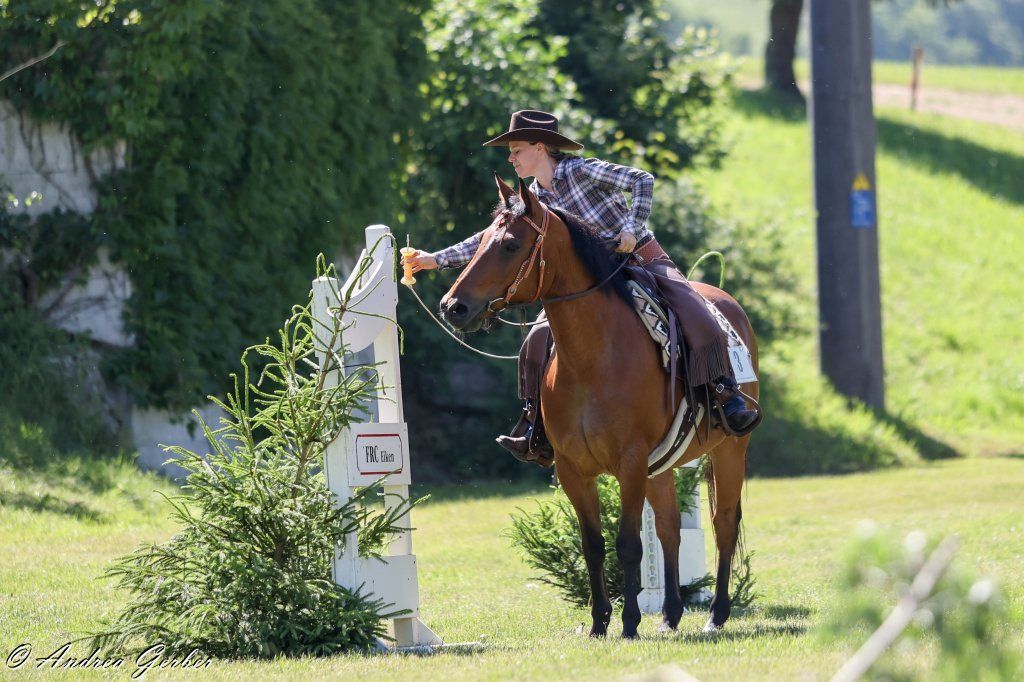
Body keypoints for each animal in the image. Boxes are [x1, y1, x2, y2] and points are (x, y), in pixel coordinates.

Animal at [439, 175, 757, 638]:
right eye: (479, 241)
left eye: (511, 245)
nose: (453, 307)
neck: (594, 356)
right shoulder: (573, 468)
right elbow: (593, 543)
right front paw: (599, 622)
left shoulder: (630, 461)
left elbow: (628, 544)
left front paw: (629, 622)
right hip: (661, 466)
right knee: (669, 529)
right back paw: (670, 615)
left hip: (730, 449)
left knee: (724, 525)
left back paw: (715, 615)